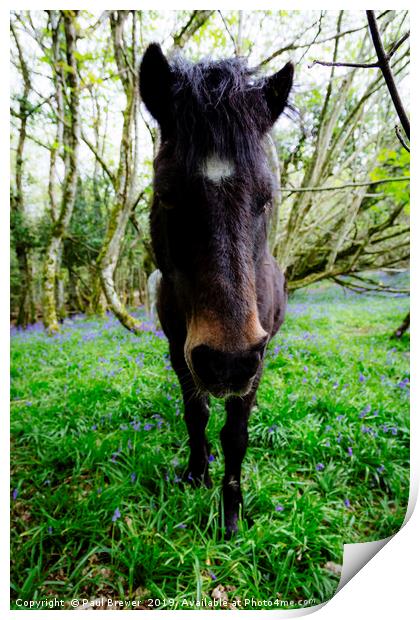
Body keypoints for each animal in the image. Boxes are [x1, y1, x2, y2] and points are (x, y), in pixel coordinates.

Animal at [139, 43, 294, 536]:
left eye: (265, 198)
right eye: (166, 194)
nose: (226, 362)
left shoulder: (256, 357)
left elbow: (235, 434)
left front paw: (231, 515)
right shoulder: (179, 347)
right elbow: (197, 413)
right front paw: (196, 471)